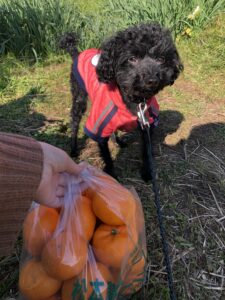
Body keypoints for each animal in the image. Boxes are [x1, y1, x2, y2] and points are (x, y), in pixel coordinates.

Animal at [58, 23, 183, 179]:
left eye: (161, 59)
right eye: (132, 58)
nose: (152, 80)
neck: (135, 101)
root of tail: (77, 53)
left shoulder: (147, 124)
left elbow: (146, 151)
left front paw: (146, 172)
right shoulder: (99, 126)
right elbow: (106, 154)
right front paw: (111, 175)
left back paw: (119, 141)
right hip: (79, 96)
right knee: (75, 122)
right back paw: (74, 149)